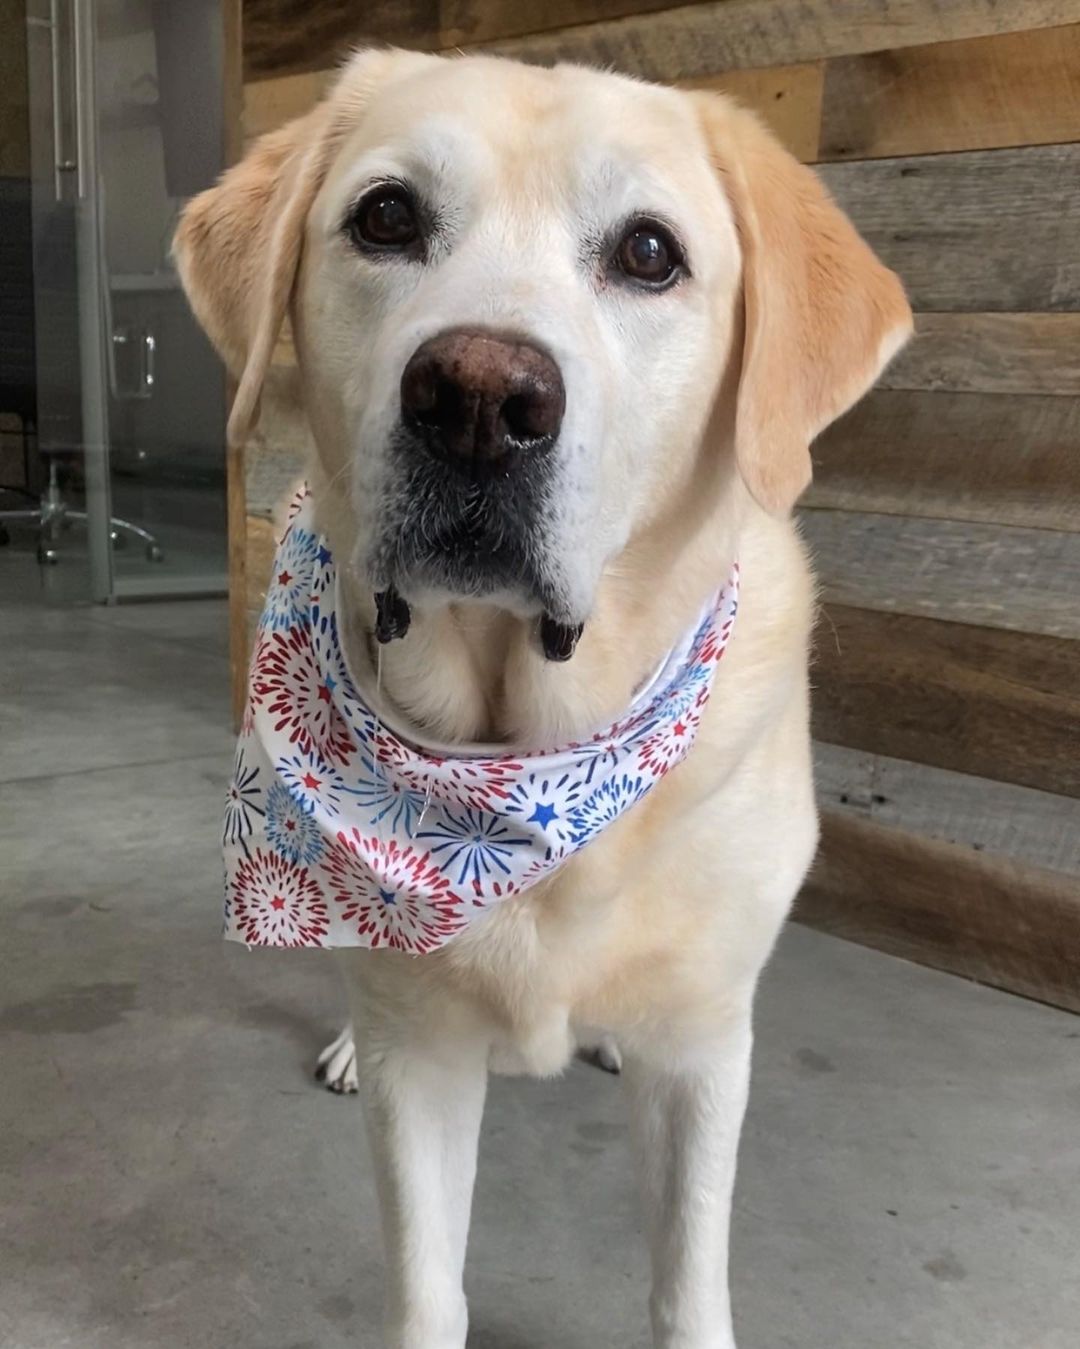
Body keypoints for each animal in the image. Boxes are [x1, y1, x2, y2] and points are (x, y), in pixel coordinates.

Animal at [176, 47, 911, 1349]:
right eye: (386, 217)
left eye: (650, 252)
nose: (477, 397)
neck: (513, 765)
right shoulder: (422, 1065)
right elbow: (427, 1287)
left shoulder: (707, 1048)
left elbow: (687, 1279)